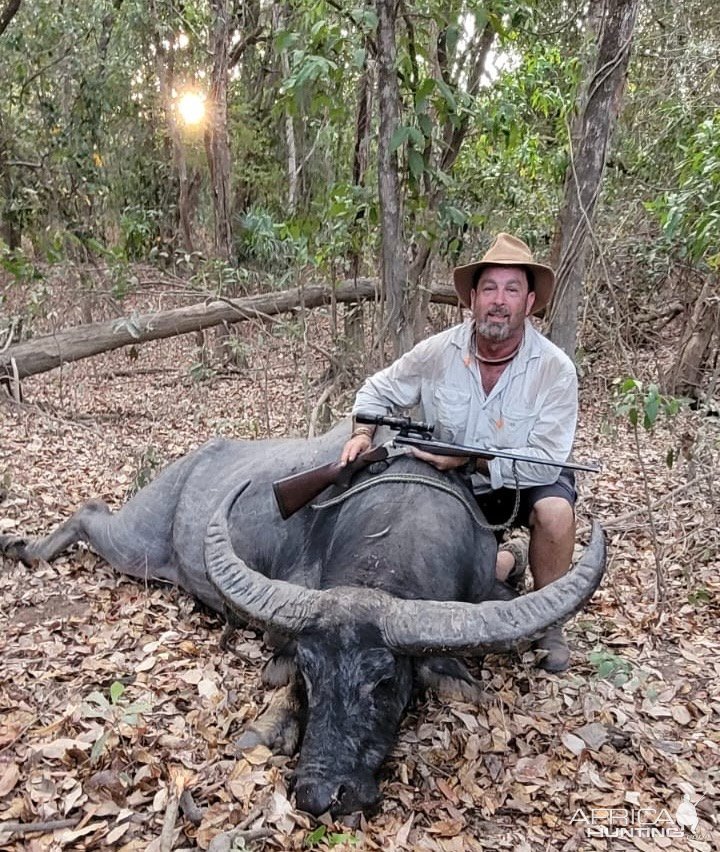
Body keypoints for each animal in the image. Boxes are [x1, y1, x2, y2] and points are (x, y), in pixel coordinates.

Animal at [1, 422, 608, 816]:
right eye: (311, 673)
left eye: (384, 681)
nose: (322, 796)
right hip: (138, 546)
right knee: (90, 512)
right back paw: (24, 548)